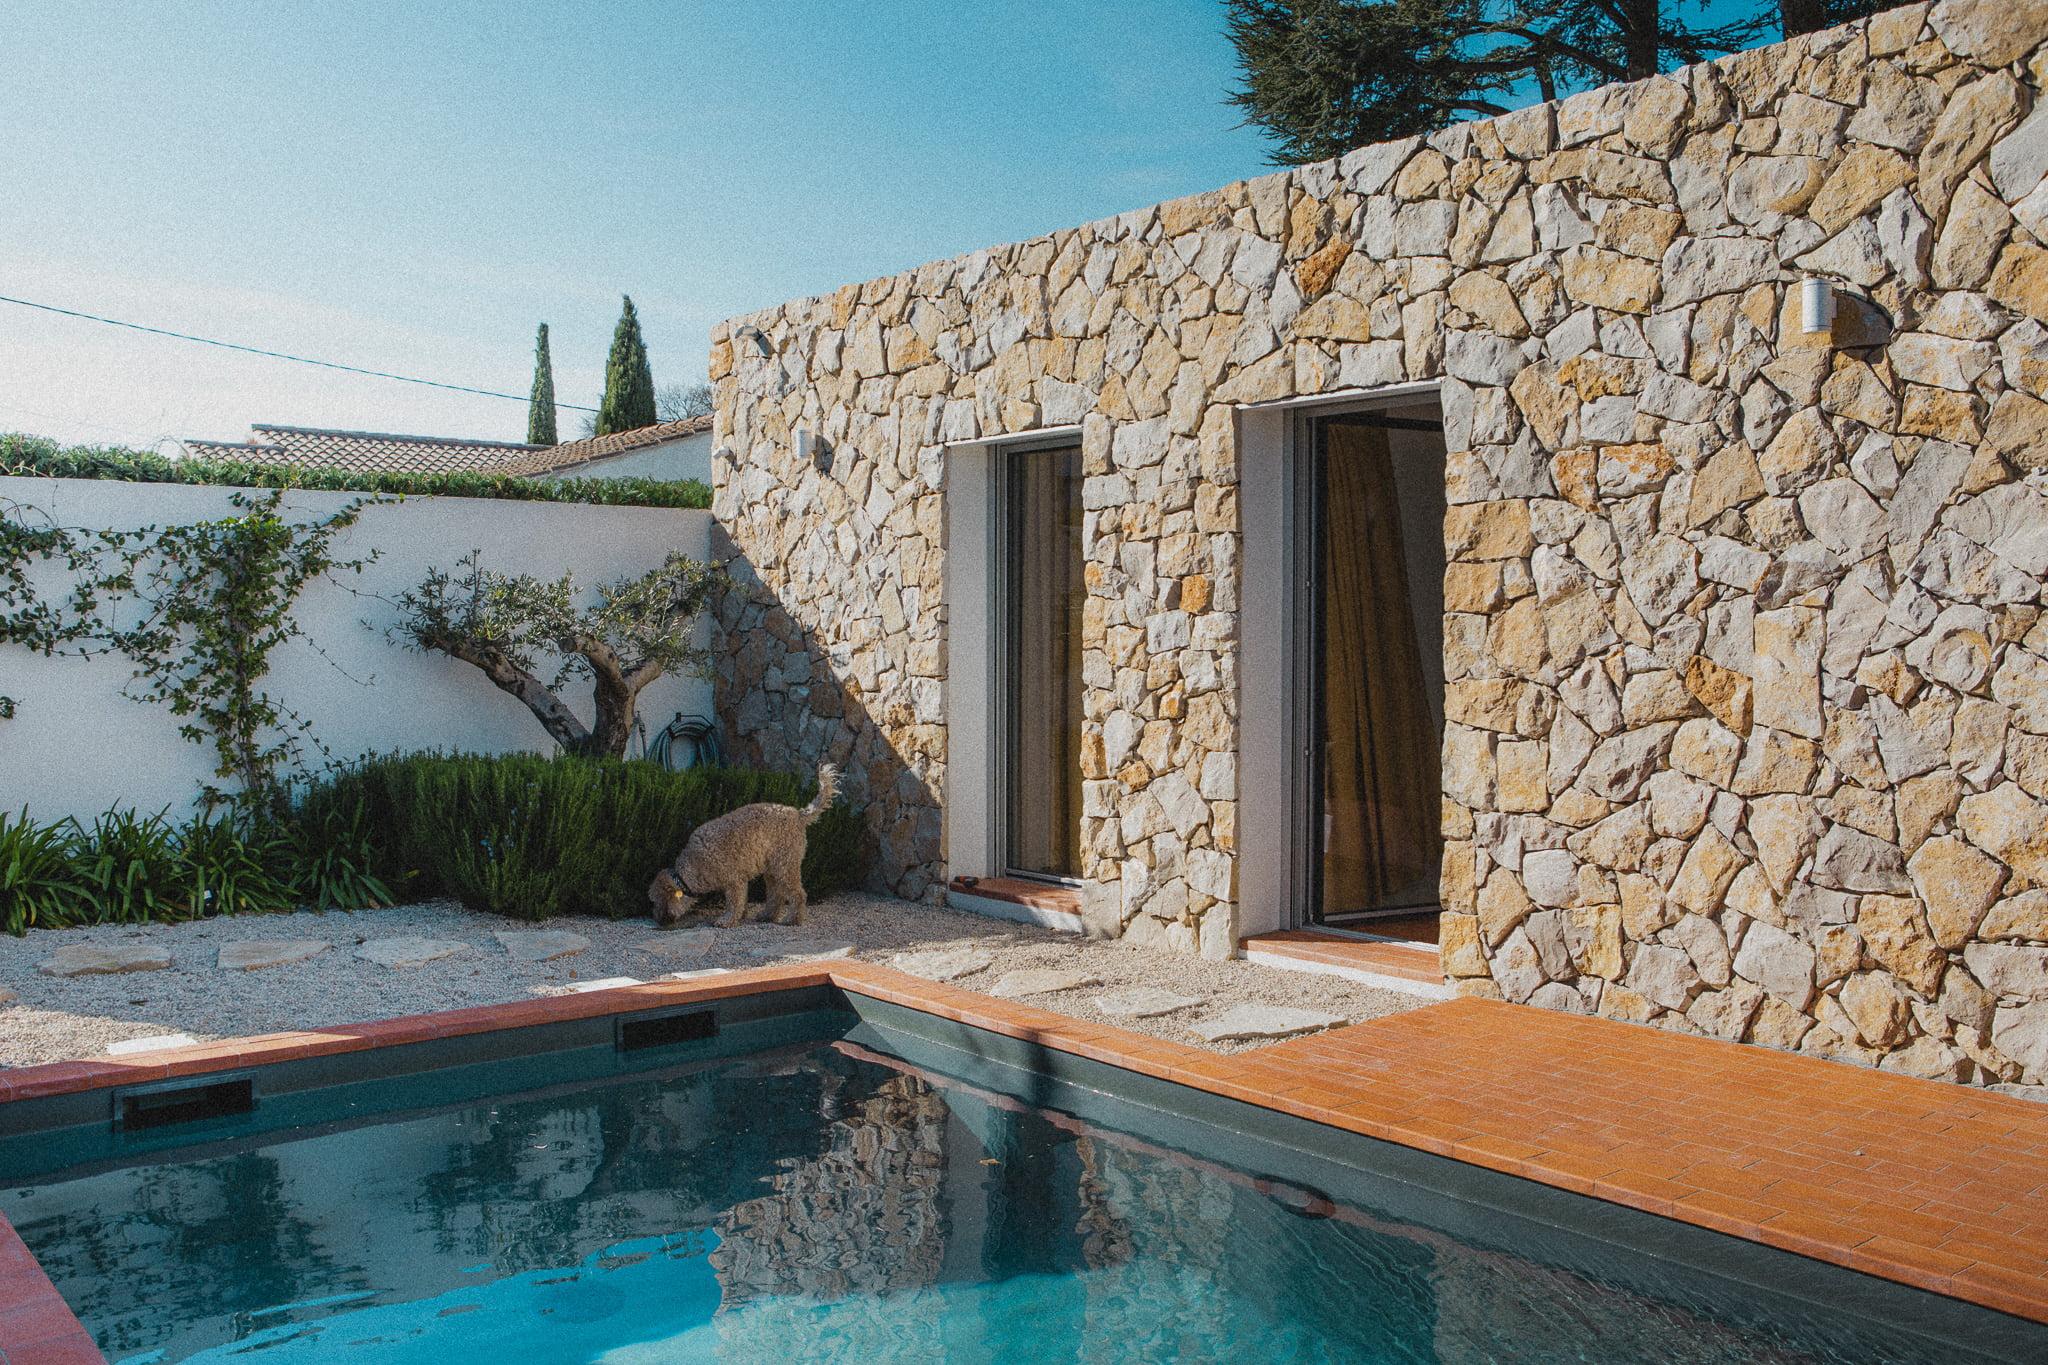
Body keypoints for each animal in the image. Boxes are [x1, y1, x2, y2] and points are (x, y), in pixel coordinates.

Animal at [638, 769, 831, 929]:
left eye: (656, 901)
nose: (657, 920)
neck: (695, 865)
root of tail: (798, 814)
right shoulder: (739, 881)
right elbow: (741, 902)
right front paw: (741, 916)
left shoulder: (734, 881)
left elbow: (734, 903)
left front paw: (727, 920)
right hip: (772, 870)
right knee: (776, 895)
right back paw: (767, 916)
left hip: (785, 866)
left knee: (798, 894)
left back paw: (793, 919)